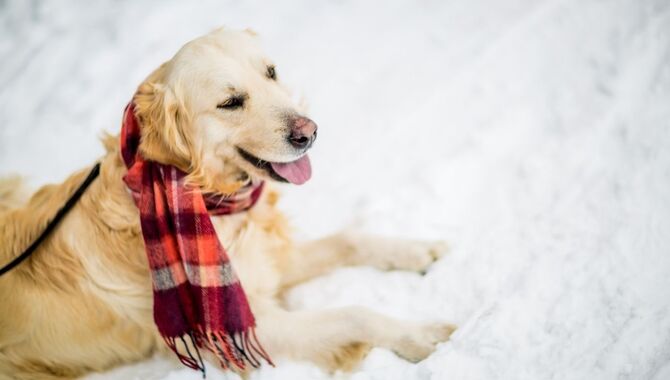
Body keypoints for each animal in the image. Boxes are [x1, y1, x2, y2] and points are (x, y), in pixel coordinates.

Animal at [0, 28, 456, 378]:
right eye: (231, 102)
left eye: (271, 72)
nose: (309, 132)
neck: (213, 199)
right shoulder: (243, 329)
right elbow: (353, 314)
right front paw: (422, 336)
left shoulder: (268, 262)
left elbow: (349, 239)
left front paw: (418, 250)